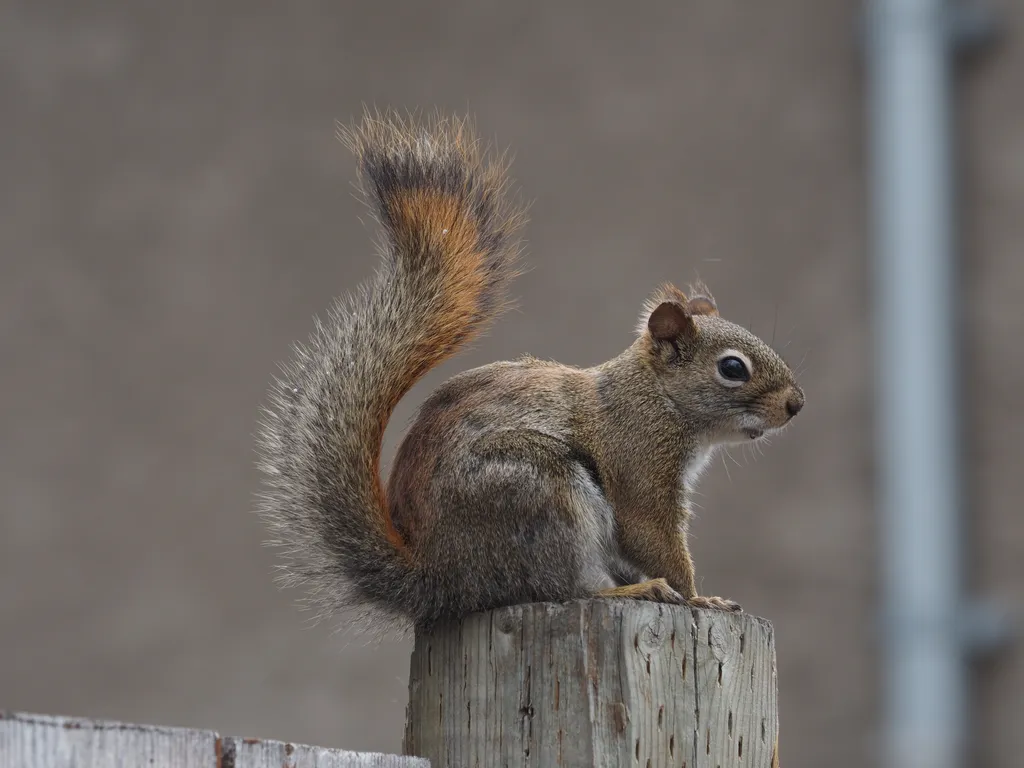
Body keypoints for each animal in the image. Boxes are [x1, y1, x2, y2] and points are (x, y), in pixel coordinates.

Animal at [253, 112, 798, 630]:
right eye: (732, 368)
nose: (797, 404)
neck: (655, 398)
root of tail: (443, 577)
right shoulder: (640, 463)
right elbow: (651, 534)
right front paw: (701, 598)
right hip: (541, 492)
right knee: (567, 586)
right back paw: (632, 590)